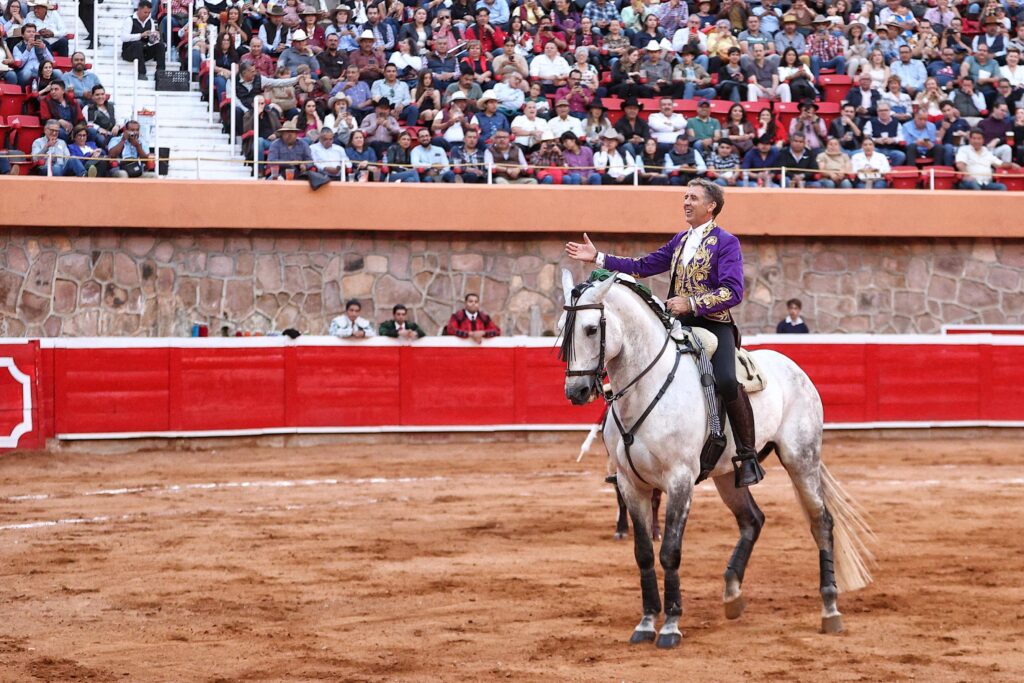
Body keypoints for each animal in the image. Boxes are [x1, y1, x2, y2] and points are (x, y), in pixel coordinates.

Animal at [561, 270, 872, 651]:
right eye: (563, 328)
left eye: (591, 328)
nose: (575, 392)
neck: (645, 388)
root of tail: (794, 368)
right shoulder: (629, 482)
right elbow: (644, 553)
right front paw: (646, 623)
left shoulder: (679, 478)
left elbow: (670, 551)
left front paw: (671, 627)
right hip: (728, 475)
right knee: (752, 520)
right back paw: (732, 594)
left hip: (802, 457)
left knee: (821, 522)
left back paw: (829, 609)